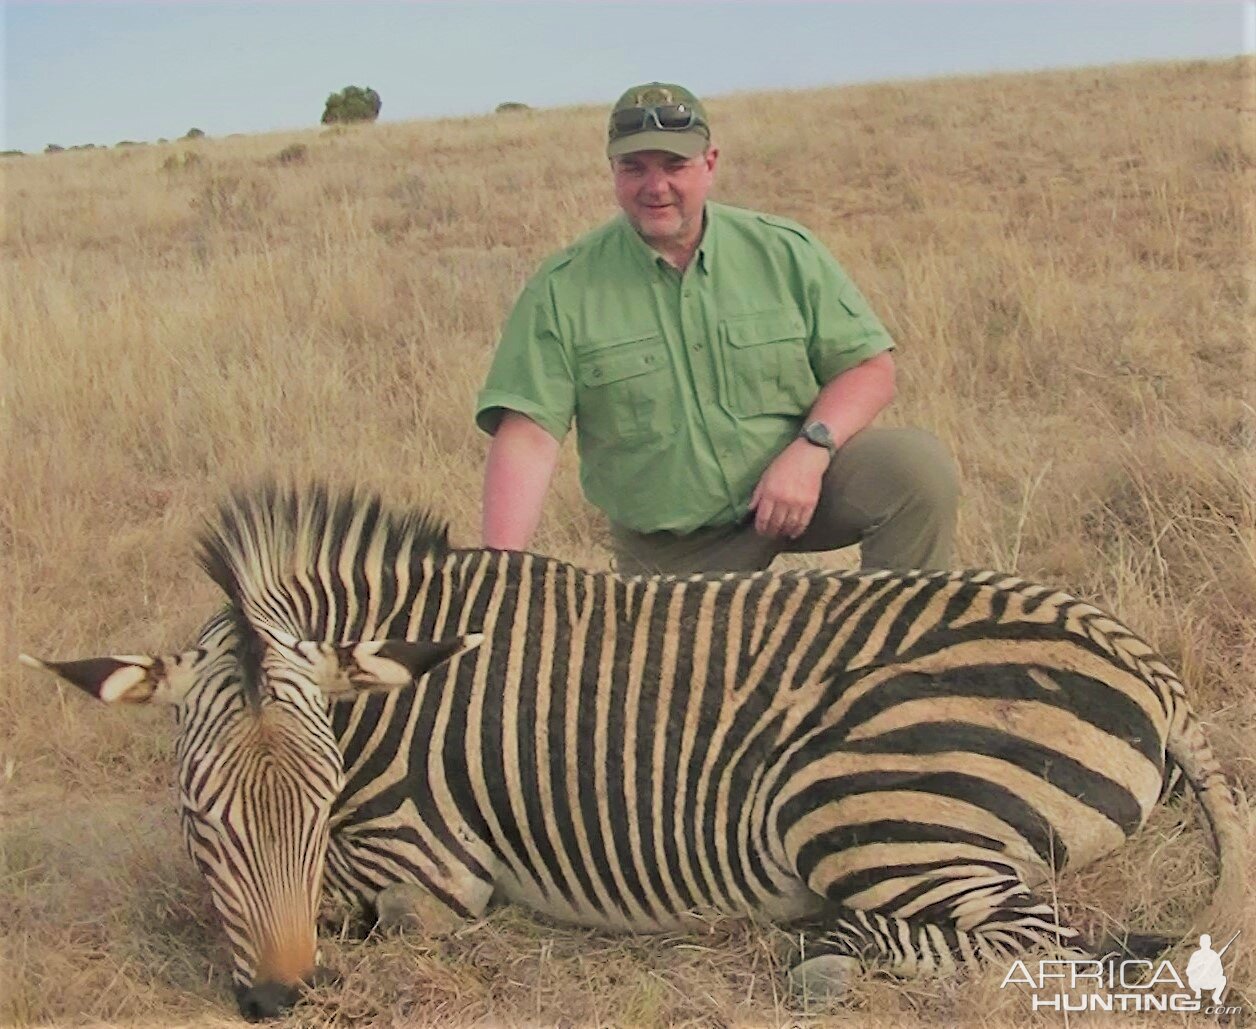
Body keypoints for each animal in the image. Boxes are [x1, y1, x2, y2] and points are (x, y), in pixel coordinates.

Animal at [19, 484, 1245, 1020]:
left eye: (319, 808)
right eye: (198, 815)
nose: (275, 1003)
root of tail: (1137, 656)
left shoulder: (428, 871)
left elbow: (359, 912)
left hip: (857, 789)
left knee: (1041, 940)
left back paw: (830, 955)